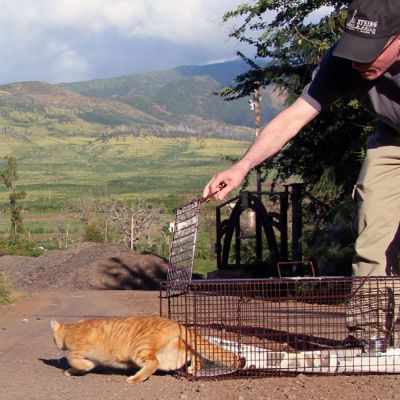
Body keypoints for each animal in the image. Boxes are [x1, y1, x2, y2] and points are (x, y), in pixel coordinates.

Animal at [50, 316, 244, 384]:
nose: (54, 343)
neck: (72, 328)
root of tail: (175, 322)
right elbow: (83, 365)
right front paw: (74, 371)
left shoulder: (79, 351)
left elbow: (74, 359)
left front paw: (77, 367)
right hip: (171, 356)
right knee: (193, 353)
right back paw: (193, 367)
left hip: (140, 350)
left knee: (153, 363)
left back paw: (135, 378)